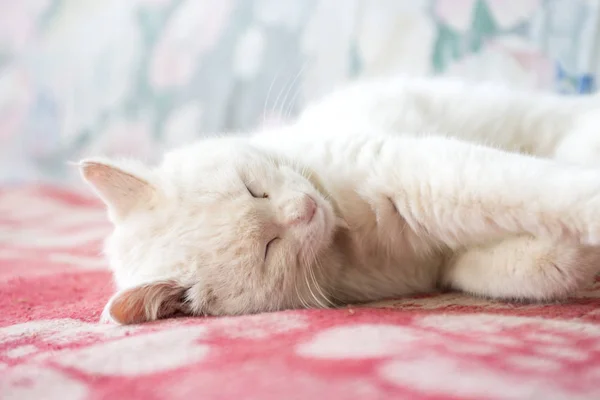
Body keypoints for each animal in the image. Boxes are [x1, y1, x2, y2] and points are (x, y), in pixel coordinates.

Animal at [81, 76, 600, 324]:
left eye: (252, 187)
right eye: (268, 249)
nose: (306, 210)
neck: (349, 243)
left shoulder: (413, 171)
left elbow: (528, 189)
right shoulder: (439, 262)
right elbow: (527, 265)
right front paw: (570, 258)